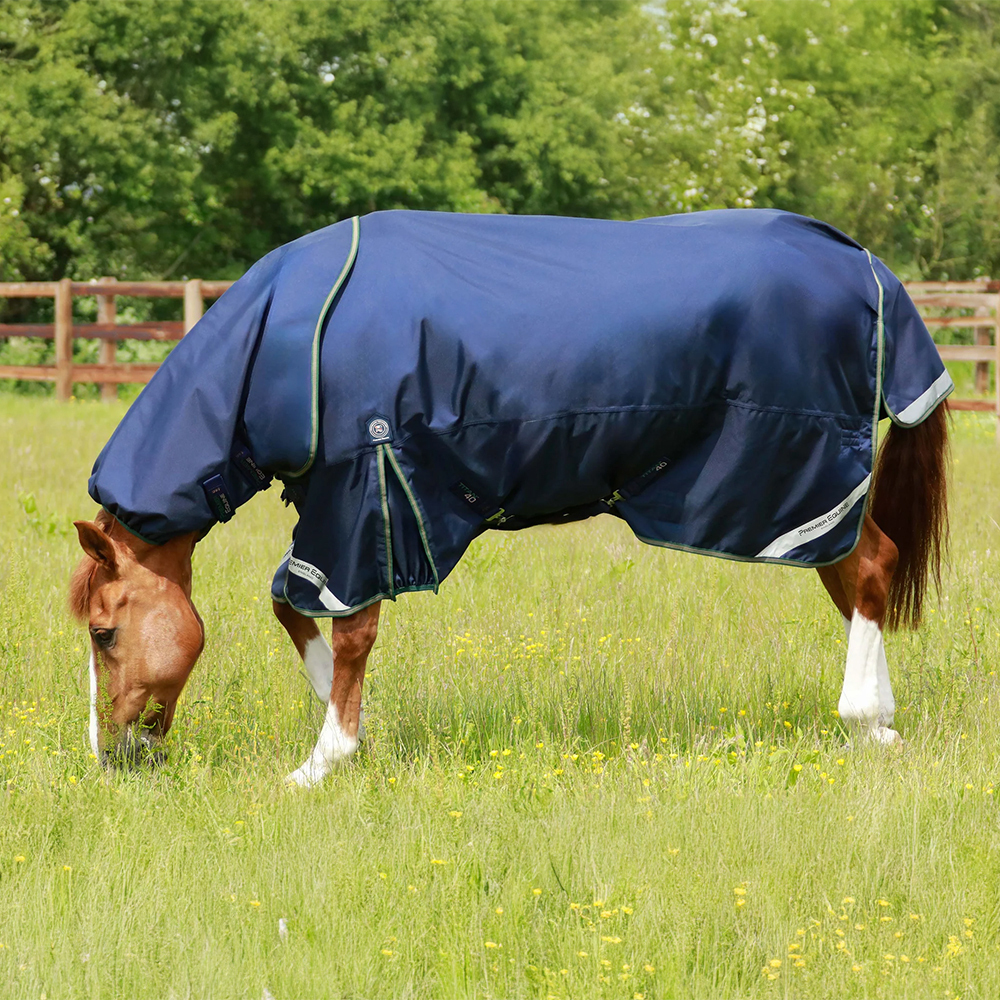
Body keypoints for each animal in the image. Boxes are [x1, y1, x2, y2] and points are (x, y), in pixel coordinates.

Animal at [69, 208, 951, 785]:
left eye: (104, 633)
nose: (112, 759)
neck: (292, 341)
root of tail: (865, 265)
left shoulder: (364, 499)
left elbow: (347, 630)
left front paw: (325, 760)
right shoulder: (347, 516)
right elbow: (291, 607)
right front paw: (351, 728)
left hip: (805, 484)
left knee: (871, 569)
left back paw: (866, 722)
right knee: (860, 583)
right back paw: (882, 718)